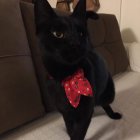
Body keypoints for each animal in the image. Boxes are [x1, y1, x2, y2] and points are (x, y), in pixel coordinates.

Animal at [34, 0, 121, 139]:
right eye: (58, 34)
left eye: (81, 34)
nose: (76, 43)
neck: (66, 77)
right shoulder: (65, 112)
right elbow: (71, 129)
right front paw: (69, 133)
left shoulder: (84, 114)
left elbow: (78, 133)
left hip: (109, 94)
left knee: (105, 103)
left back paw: (113, 114)